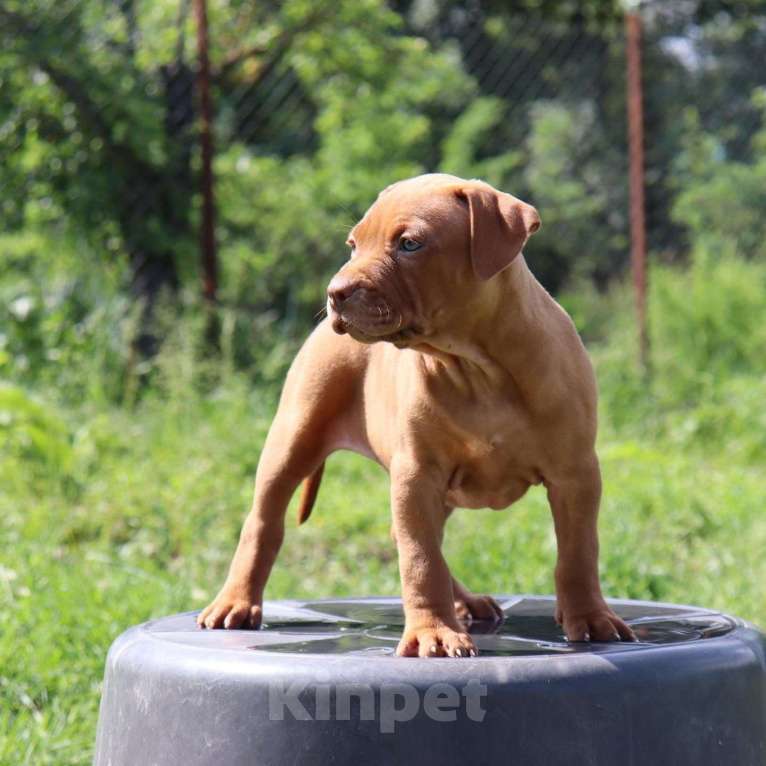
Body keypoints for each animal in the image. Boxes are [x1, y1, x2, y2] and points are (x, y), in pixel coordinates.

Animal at [200, 176, 636, 660]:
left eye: (410, 244)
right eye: (353, 245)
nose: (334, 293)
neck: (475, 365)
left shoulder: (575, 473)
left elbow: (578, 553)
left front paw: (591, 618)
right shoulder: (416, 474)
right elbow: (421, 559)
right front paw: (435, 633)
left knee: (408, 535)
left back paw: (467, 602)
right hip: (294, 437)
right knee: (264, 523)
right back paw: (235, 602)